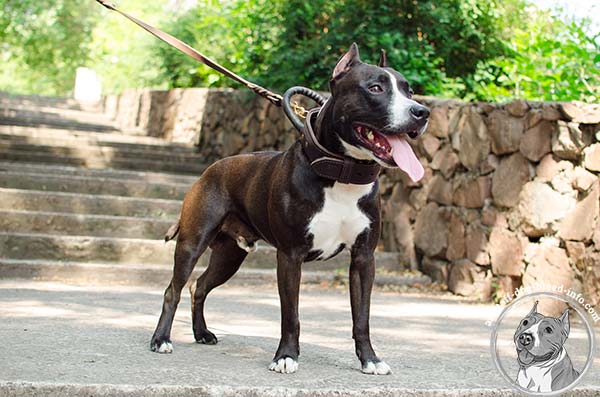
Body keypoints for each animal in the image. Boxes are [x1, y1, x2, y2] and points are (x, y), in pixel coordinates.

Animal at [152, 44, 428, 374]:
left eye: (409, 91)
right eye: (375, 88)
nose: (421, 112)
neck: (342, 173)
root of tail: (211, 169)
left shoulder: (364, 258)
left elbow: (362, 317)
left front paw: (370, 359)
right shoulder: (290, 256)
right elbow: (290, 315)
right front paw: (286, 356)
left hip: (230, 256)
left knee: (200, 286)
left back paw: (202, 333)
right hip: (192, 244)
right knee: (174, 289)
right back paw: (161, 339)